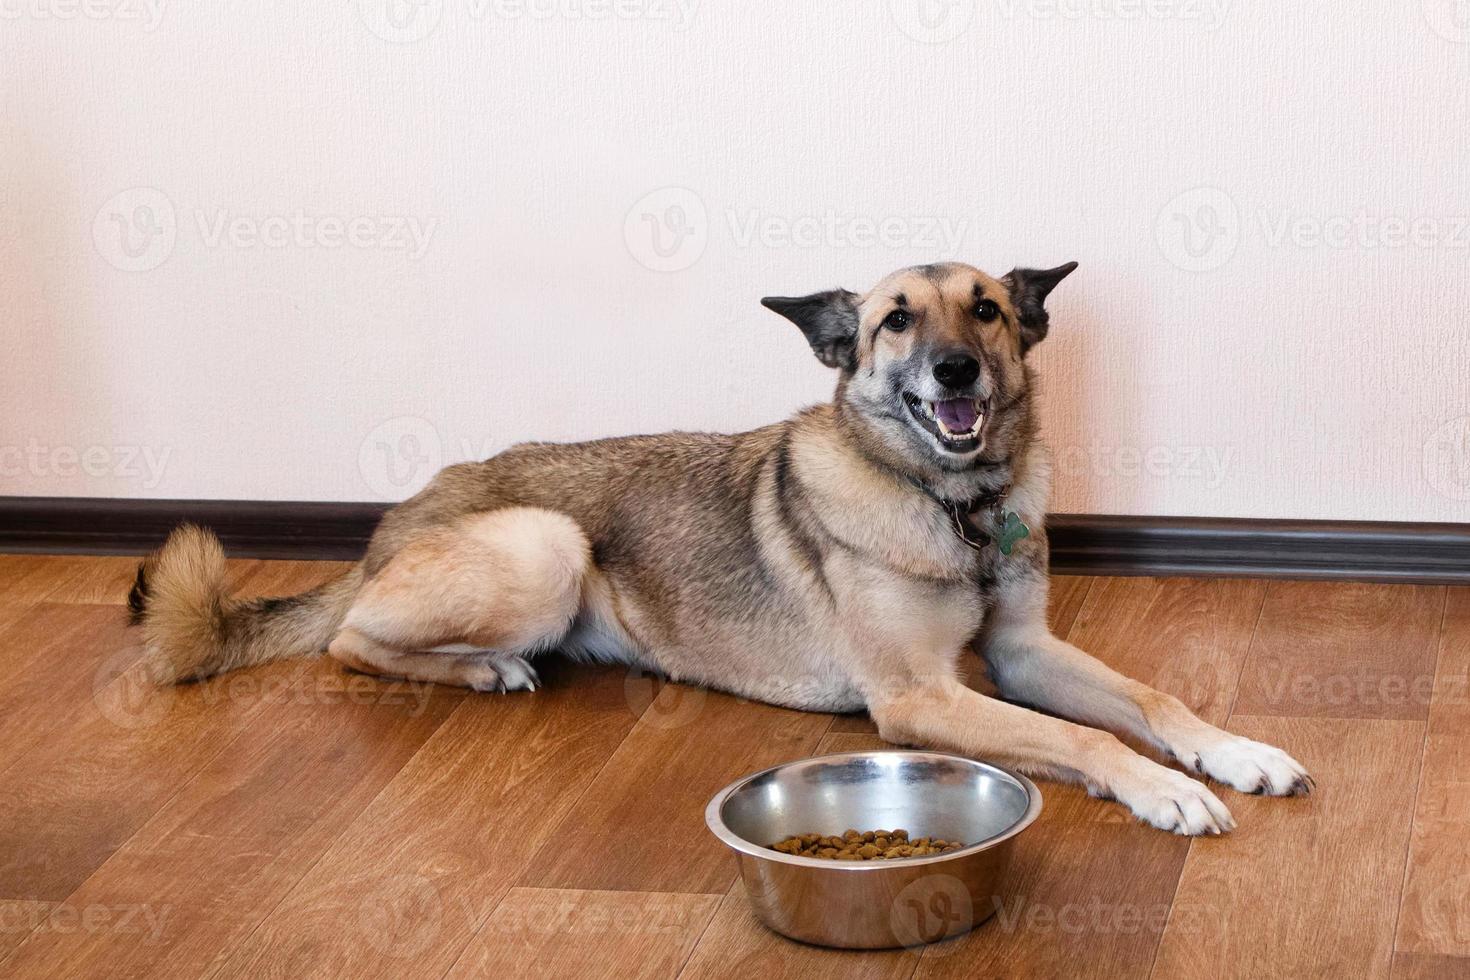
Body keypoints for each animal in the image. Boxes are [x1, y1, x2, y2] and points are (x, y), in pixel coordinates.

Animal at [129, 260, 1311, 834]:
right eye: (895, 320)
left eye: (984, 310)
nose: (956, 371)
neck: (954, 504)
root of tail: (395, 522)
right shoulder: (918, 700)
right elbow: (1085, 741)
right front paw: (1162, 789)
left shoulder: (1022, 655)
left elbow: (1153, 699)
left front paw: (1232, 752)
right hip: (547, 545)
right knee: (351, 642)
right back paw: (480, 665)